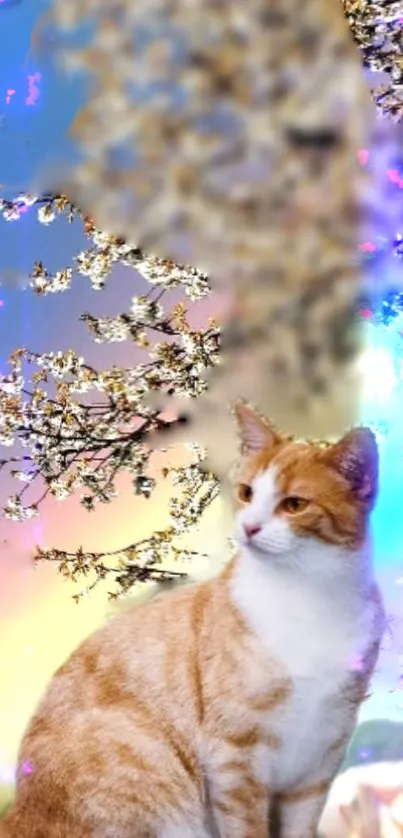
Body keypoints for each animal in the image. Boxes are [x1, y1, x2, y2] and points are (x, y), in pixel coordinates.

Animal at [0, 402, 386, 838]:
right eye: (247, 493)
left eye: (294, 505)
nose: (249, 527)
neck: (308, 595)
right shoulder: (236, 760)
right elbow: (248, 828)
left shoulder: (319, 761)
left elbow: (300, 827)